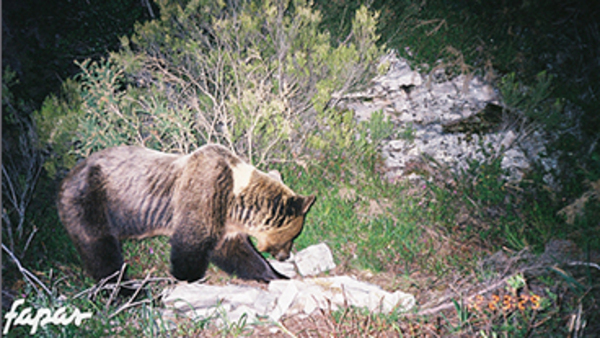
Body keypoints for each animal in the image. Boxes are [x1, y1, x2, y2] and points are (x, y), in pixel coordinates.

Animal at [58, 144, 316, 284]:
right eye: (292, 236)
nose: (285, 256)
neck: (235, 201)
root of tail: (65, 178)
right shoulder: (203, 195)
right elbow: (190, 246)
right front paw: (190, 278)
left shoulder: (226, 224)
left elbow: (241, 255)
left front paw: (278, 275)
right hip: (90, 201)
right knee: (100, 249)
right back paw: (127, 289)